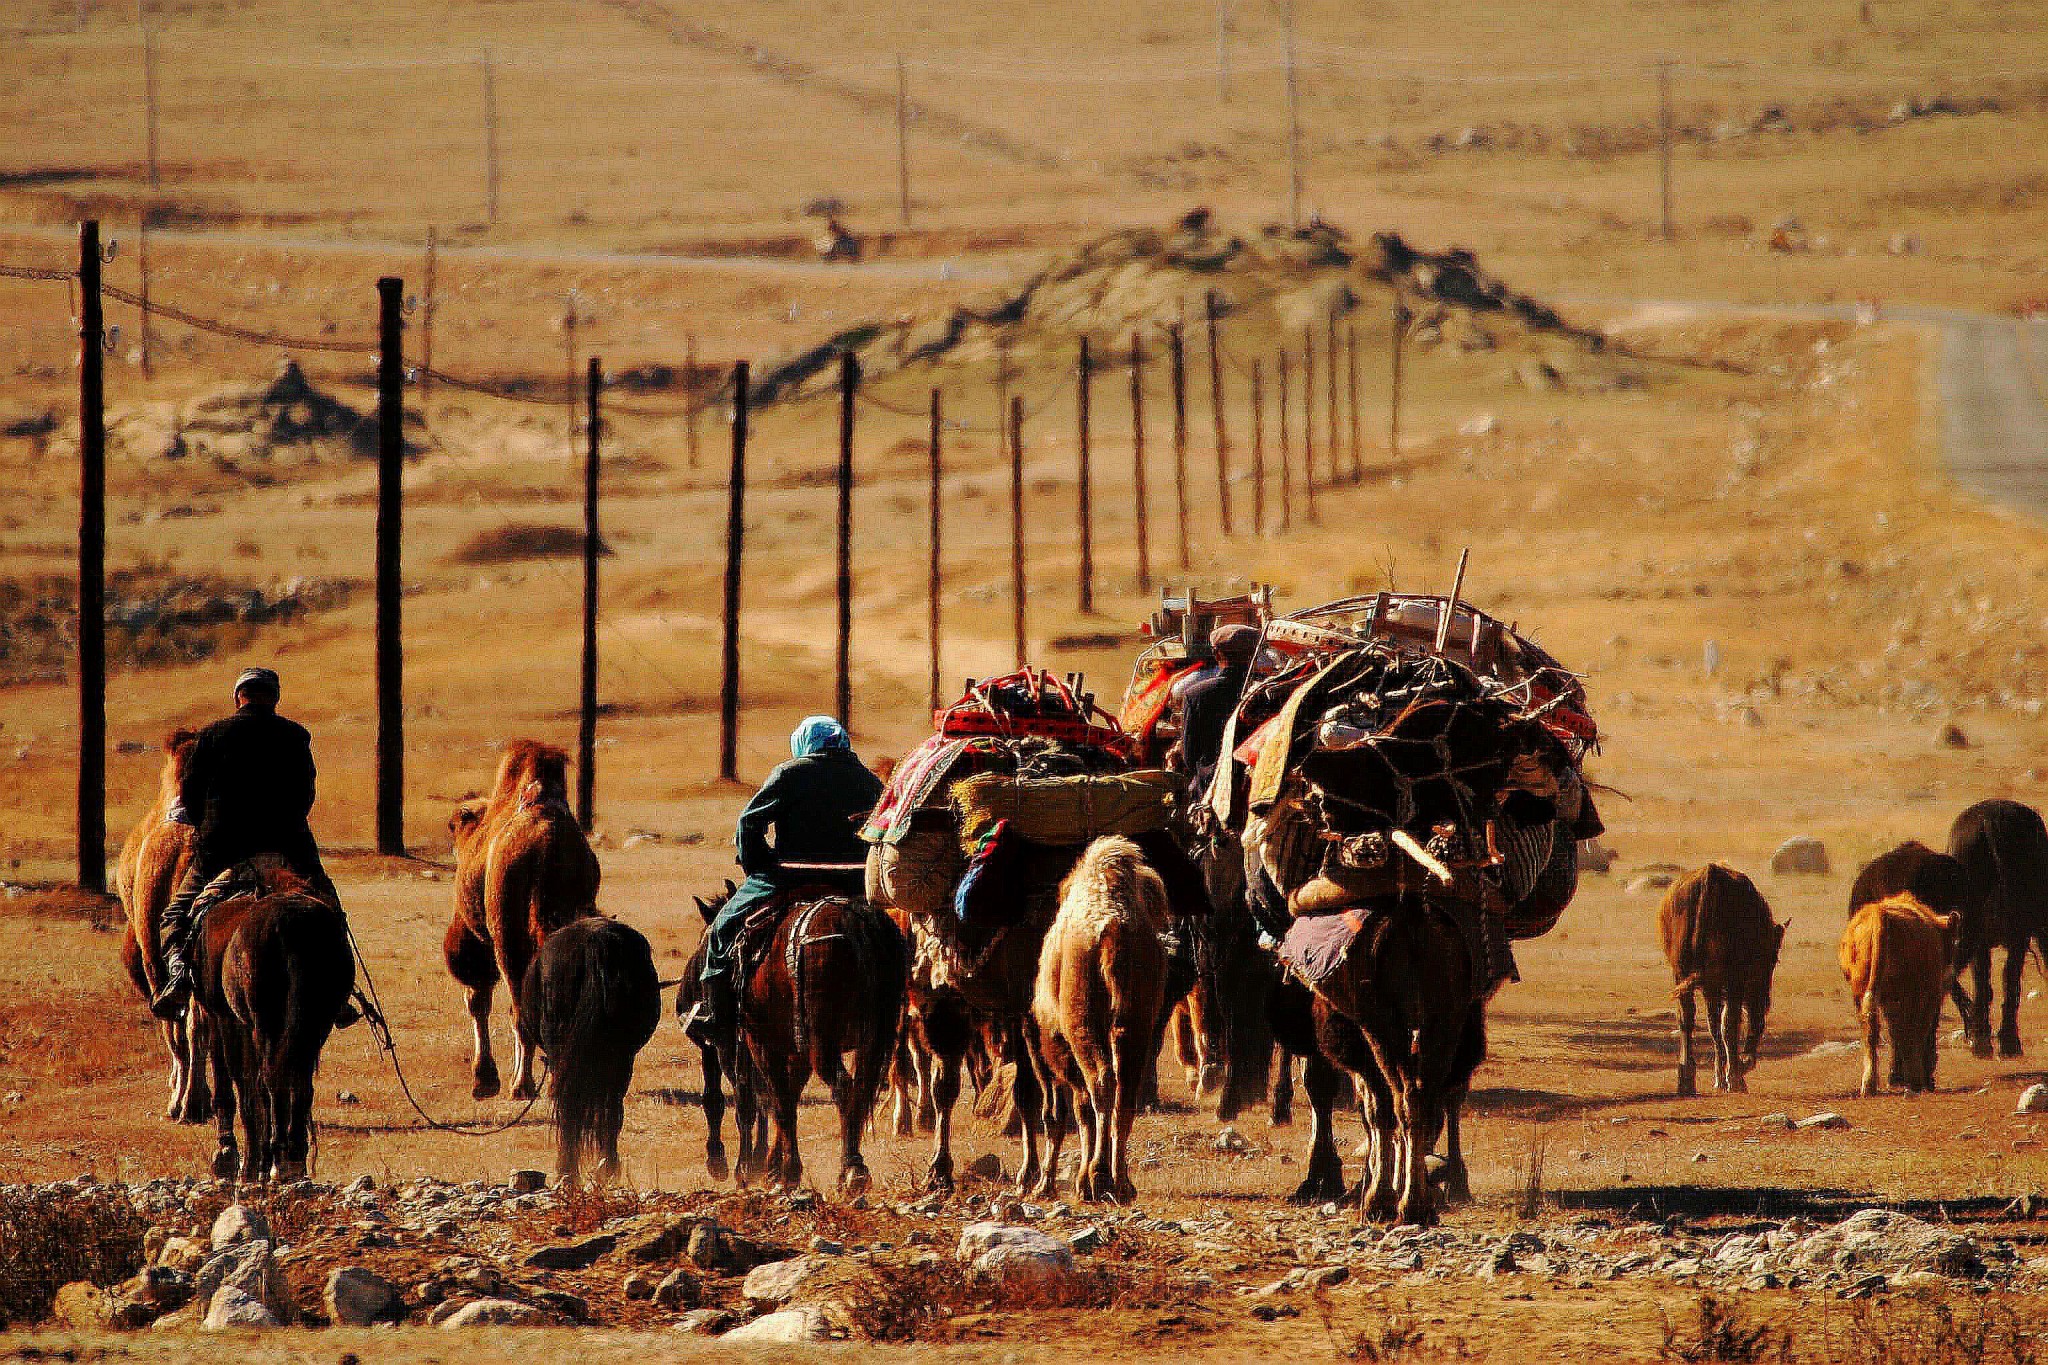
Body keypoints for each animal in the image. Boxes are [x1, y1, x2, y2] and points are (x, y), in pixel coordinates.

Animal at [446, 740, 598, 1105]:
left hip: (509, 939)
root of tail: (546, 847)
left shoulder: (484, 940)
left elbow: (479, 1000)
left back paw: (522, 1084)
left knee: (520, 1009)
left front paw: (484, 1081)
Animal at [1024, 839, 1171, 1203]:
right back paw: (1122, 1183)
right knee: (1126, 1090)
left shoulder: (1054, 1044)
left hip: (1082, 1019)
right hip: (1135, 1020)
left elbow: (1072, 1110)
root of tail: (1114, 931)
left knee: (1101, 1082)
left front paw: (1054, 1183)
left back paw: (1098, 1178)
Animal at [1654, 863, 1785, 1096]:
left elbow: (1713, 1025)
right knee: (1729, 1023)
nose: (1766, 1001)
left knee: (1686, 1018)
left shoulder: (1711, 988)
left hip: (1681, 973)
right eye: (1773, 959)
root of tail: (1711, 873)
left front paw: (1719, 1078)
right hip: (1732, 979)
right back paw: (1735, 1078)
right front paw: (1735, 1071)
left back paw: (1687, 1079)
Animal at [1835, 896, 1957, 1096]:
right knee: (1907, 1031)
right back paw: (1912, 1081)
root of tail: (1878, 914)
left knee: (1870, 1027)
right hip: (1907, 991)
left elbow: (1895, 1032)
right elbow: (1917, 1031)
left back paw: (1869, 1084)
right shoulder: (1927, 994)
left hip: (1863, 990)